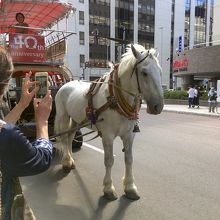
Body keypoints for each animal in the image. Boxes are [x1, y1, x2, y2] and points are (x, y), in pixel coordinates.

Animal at [54, 43, 163, 200]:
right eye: (144, 72)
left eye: (160, 72)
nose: (158, 106)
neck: (115, 98)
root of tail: (66, 84)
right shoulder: (107, 135)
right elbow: (109, 160)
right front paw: (108, 188)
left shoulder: (129, 135)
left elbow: (129, 159)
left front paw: (130, 187)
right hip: (63, 116)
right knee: (63, 138)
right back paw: (66, 162)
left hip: (75, 120)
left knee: (70, 137)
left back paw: (70, 160)